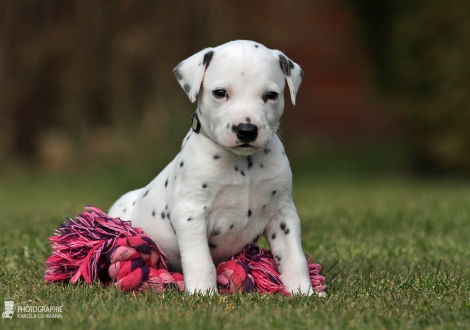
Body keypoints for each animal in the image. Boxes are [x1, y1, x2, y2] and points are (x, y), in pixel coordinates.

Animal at [109, 40, 316, 296]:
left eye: (271, 95)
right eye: (220, 93)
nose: (246, 130)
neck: (242, 163)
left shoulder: (282, 214)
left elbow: (293, 256)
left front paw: (304, 291)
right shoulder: (191, 213)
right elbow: (200, 260)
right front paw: (202, 292)